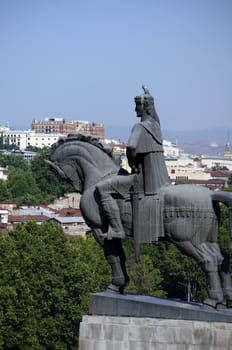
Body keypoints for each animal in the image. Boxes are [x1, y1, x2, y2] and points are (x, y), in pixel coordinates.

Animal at [45, 133, 232, 308]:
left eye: (58, 172)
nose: (74, 185)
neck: (100, 176)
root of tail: (210, 194)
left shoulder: (99, 230)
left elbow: (112, 256)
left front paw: (115, 285)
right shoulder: (111, 234)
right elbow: (120, 256)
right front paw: (120, 286)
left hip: (186, 240)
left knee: (209, 261)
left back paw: (212, 300)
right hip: (207, 239)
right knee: (222, 258)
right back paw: (223, 301)